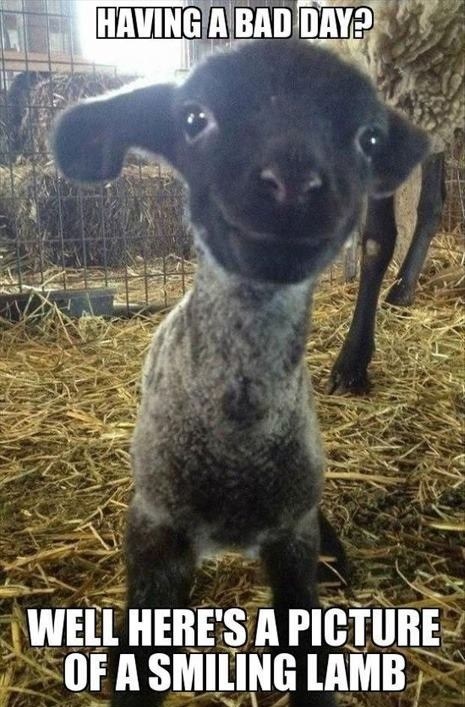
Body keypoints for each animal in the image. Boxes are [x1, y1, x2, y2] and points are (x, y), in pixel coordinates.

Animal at [53, 39, 428, 707]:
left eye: (369, 139)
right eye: (193, 118)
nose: (294, 185)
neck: (237, 438)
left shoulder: (291, 540)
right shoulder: (155, 533)